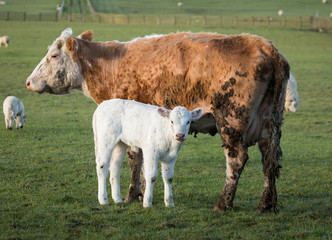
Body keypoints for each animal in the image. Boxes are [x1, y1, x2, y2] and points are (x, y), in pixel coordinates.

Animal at [26, 28, 290, 212]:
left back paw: (223, 203)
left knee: (236, 160)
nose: (29, 82)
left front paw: (133, 194)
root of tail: (268, 49)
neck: (111, 65)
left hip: (232, 121)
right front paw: (142, 193)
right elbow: (143, 163)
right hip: (270, 123)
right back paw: (266, 205)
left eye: (54, 55)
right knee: (269, 161)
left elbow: (135, 160)